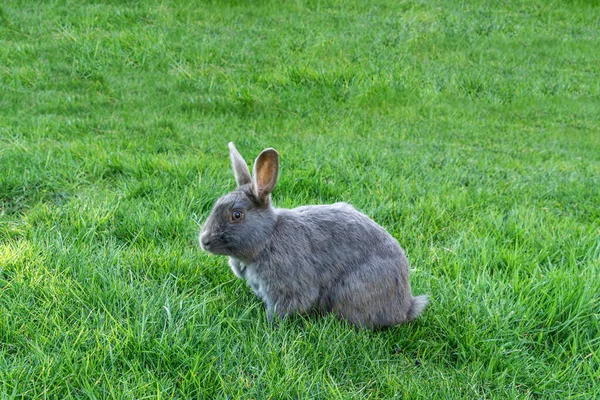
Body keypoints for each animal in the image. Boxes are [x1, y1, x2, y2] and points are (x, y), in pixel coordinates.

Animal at [199, 142, 428, 330]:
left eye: (236, 215)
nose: (204, 241)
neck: (267, 236)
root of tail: (406, 306)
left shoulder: (287, 286)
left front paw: (270, 324)